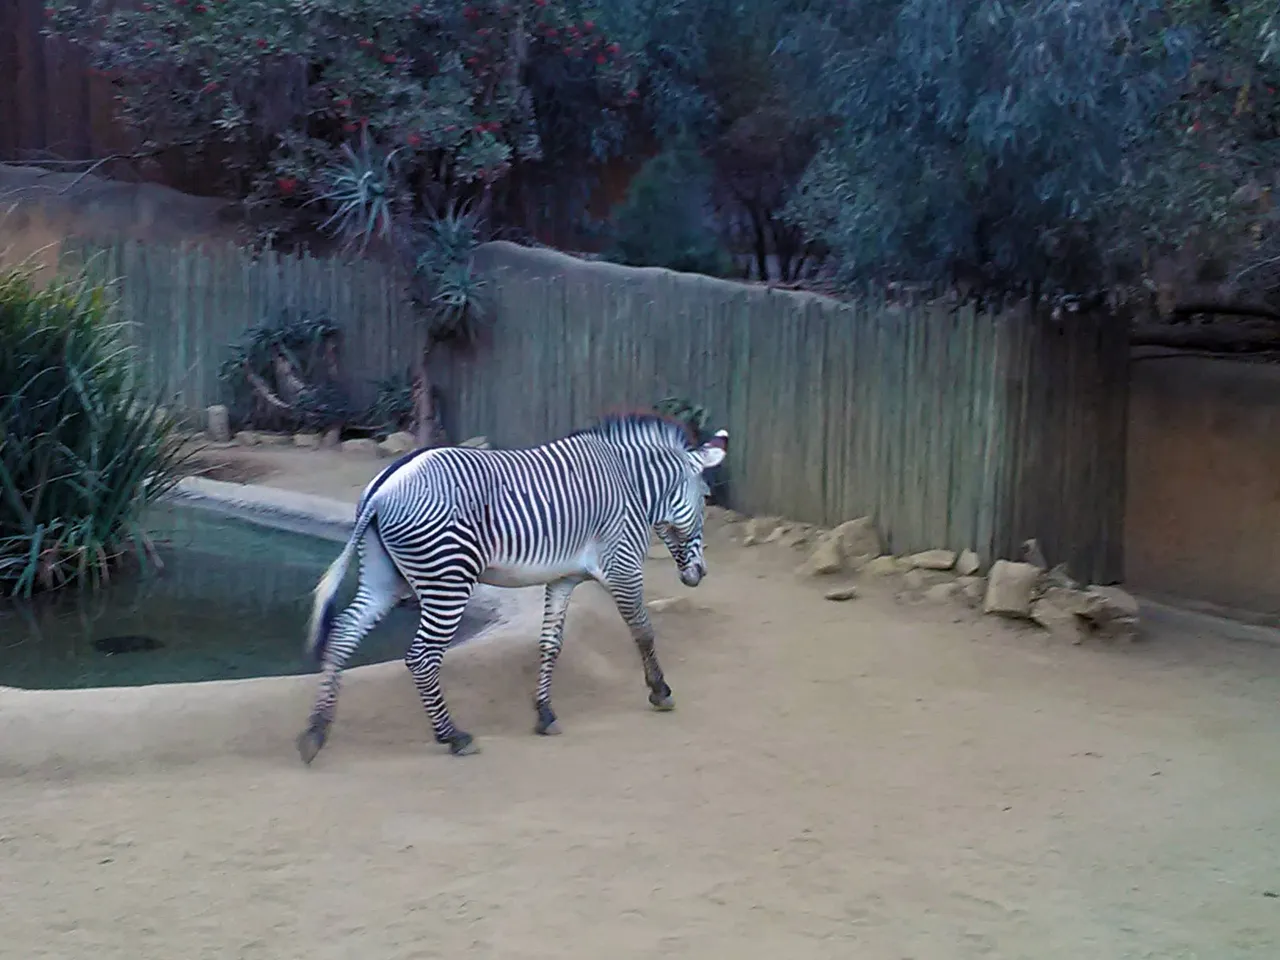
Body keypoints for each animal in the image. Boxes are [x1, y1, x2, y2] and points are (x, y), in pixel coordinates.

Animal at [293, 414, 727, 768]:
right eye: (705, 497)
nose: (700, 574)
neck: (631, 485)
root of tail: (384, 487)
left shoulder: (563, 578)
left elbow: (551, 644)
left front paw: (545, 714)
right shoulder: (622, 566)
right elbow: (643, 630)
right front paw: (660, 692)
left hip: (386, 578)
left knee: (344, 632)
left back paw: (316, 732)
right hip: (448, 579)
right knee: (420, 656)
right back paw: (453, 736)